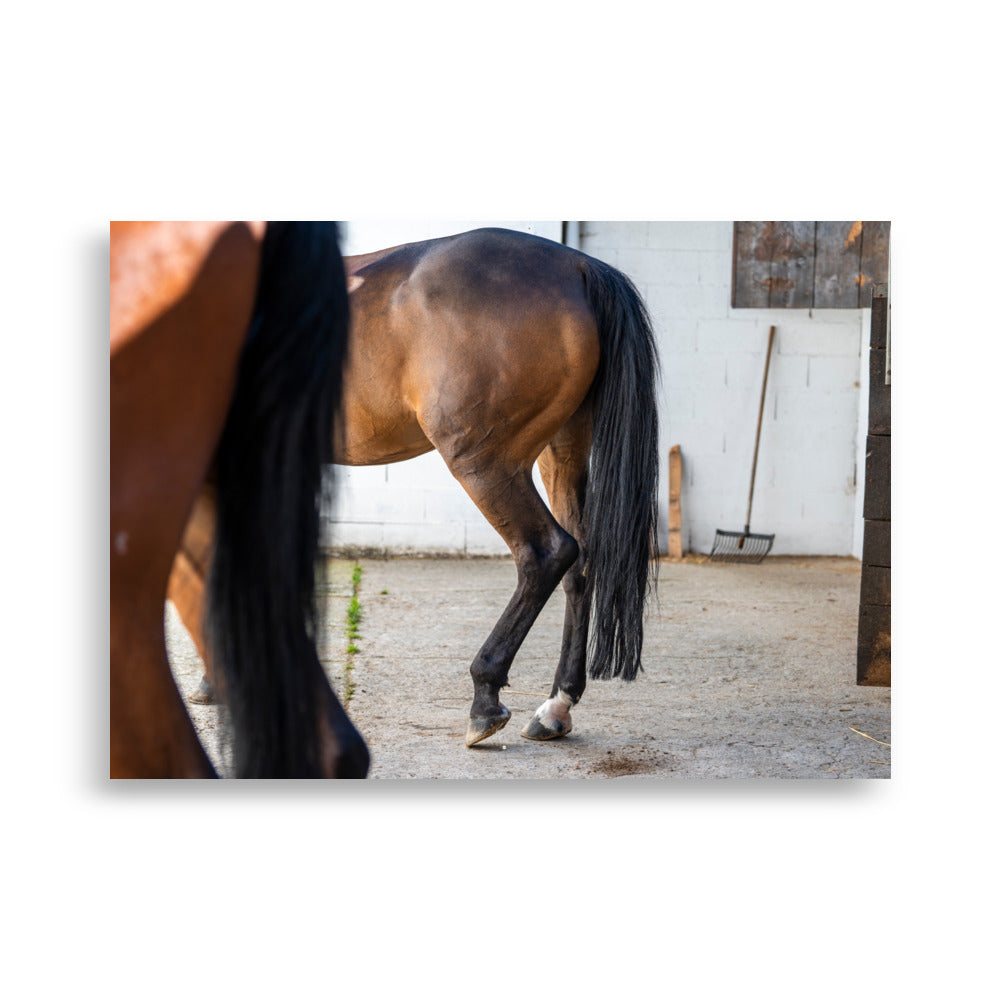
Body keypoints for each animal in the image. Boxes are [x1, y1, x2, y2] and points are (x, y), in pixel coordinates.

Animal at [171, 229, 656, 752]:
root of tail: (576, 267)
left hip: (485, 463)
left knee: (546, 553)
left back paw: (485, 698)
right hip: (561, 454)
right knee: (581, 562)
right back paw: (554, 708)